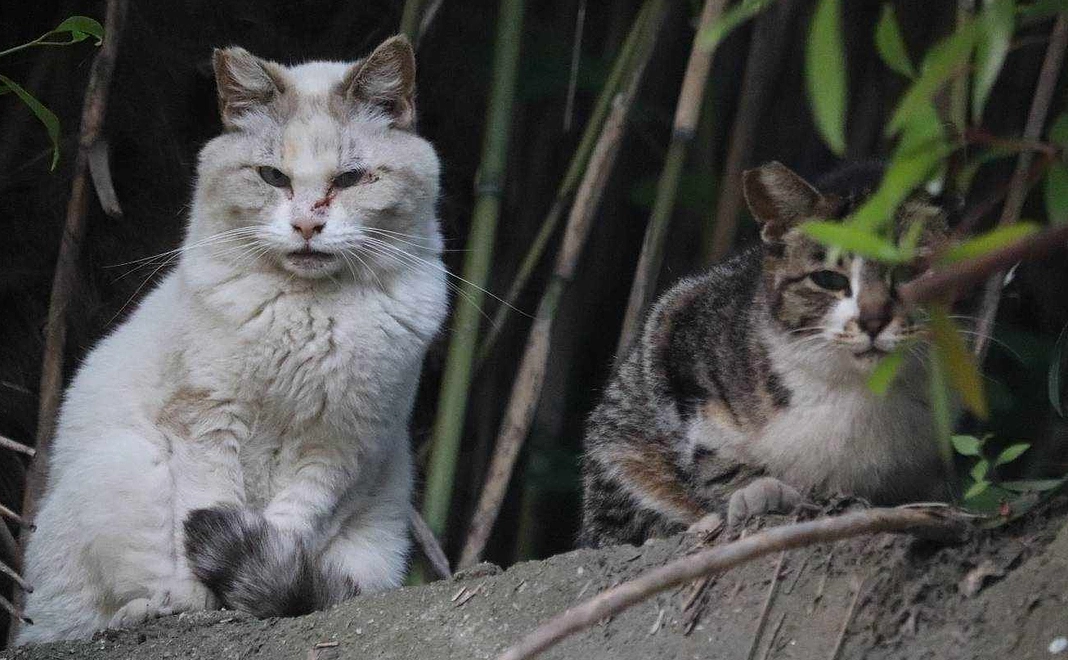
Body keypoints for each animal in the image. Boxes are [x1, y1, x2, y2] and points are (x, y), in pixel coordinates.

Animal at [20, 36, 446, 640]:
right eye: (272, 177)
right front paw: (203, 601)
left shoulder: (343, 446)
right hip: (122, 464)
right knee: (92, 611)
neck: (306, 315)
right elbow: (204, 515)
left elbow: (286, 530)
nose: (307, 226)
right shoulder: (208, 420)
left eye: (349, 180)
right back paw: (147, 609)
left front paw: (247, 591)